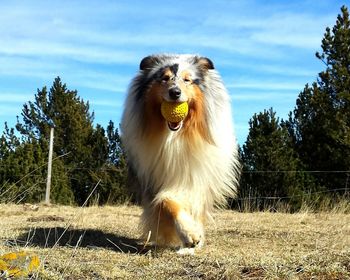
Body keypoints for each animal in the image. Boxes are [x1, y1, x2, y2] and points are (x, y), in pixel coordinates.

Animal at [121, 53, 241, 253]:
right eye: (164, 78)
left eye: (187, 80)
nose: (175, 92)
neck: (175, 137)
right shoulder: (154, 179)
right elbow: (166, 202)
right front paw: (188, 234)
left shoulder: (196, 177)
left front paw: (193, 239)